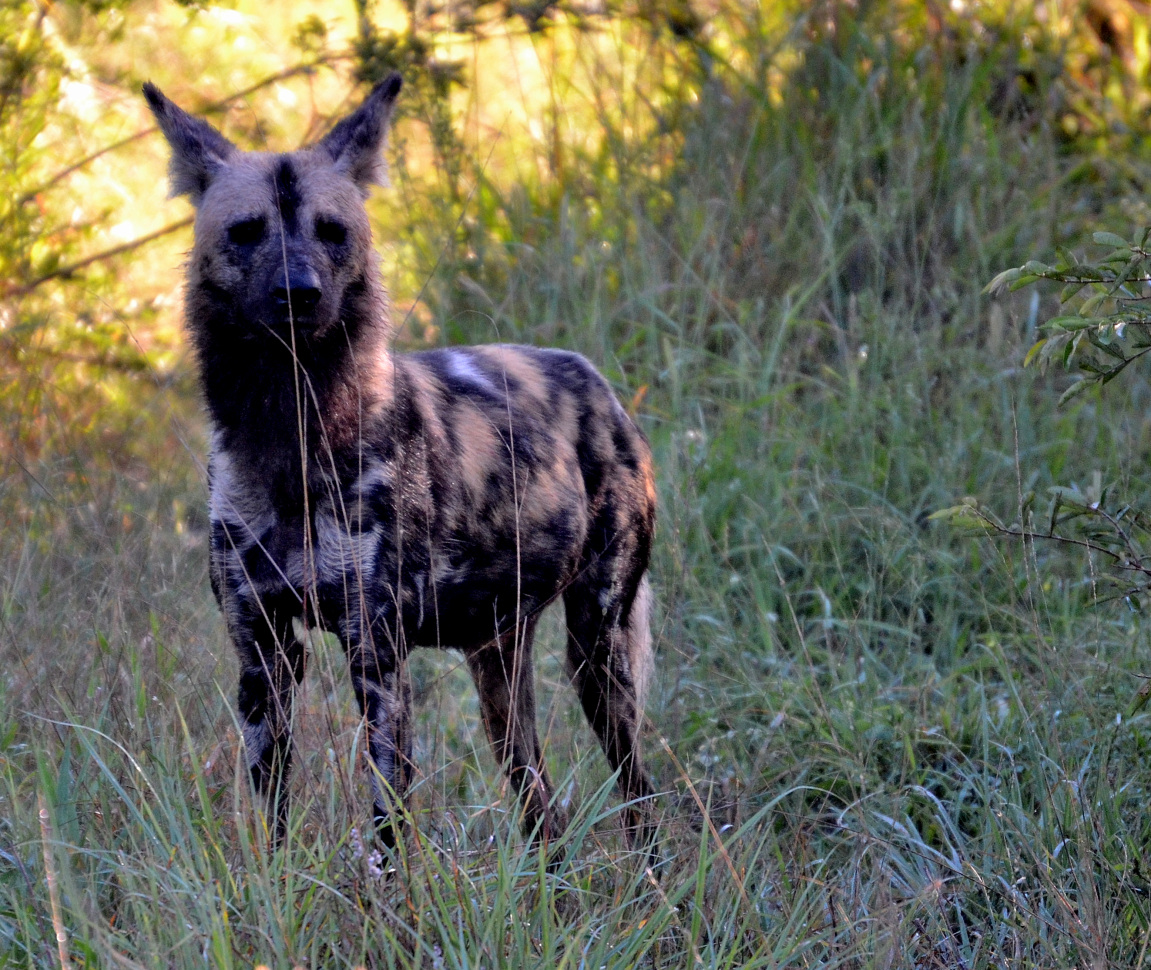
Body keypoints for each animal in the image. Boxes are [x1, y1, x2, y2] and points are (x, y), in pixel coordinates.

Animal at [146, 74, 658, 851]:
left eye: (333, 231)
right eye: (246, 231)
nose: (298, 293)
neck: (293, 434)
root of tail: (597, 382)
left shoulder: (378, 656)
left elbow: (388, 830)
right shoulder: (262, 658)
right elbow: (271, 827)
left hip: (598, 652)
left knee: (642, 799)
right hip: (498, 676)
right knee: (545, 813)